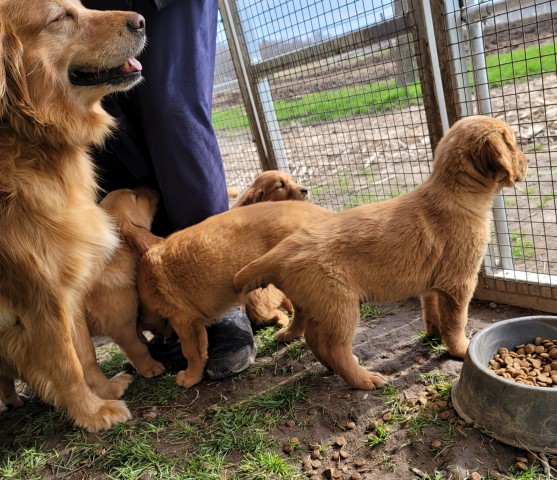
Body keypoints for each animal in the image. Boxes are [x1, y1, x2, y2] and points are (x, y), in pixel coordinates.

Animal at [0, 0, 146, 430]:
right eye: (60, 17)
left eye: (79, 5)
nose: (141, 20)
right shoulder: (39, 296)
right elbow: (66, 363)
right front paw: (91, 412)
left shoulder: (69, 280)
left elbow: (84, 350)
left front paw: (103, 390)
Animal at [137, 201, 332, 388]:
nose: (167, 342)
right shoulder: (194, 322)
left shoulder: (184, 321)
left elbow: (191, 353)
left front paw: (190, 377)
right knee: (300, 311)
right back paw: (291, 333)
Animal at [233, 116, 524, 390]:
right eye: (513, 143)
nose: (527, 160)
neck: (456, 194)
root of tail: (280, 252)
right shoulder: (459, 283)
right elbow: (456, 321)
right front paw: (460, 350)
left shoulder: (432, 283)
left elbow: (431, 310)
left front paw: (433, 334)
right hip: (340, 305)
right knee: (333, 347)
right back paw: (364, 379)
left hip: (316, 303)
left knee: (313, 339)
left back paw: (334, 367)